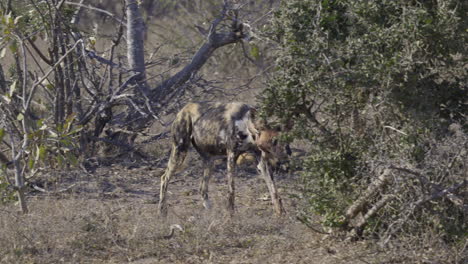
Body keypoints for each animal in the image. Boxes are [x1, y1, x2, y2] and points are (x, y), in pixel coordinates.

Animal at [158, 101, 288, 217]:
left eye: (279, 141)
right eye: (272, 143)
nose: (282, 159)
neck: (245, 126)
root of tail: (183, 109)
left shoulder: (261, 162)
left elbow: (274, 190)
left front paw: (281, 215)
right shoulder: (231, 157)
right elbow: (231, 191)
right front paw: (230, 215)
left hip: (209, 161)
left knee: (202, 189)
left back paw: (211, 214)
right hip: (180, 152)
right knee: (165, 178)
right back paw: (162, 212)